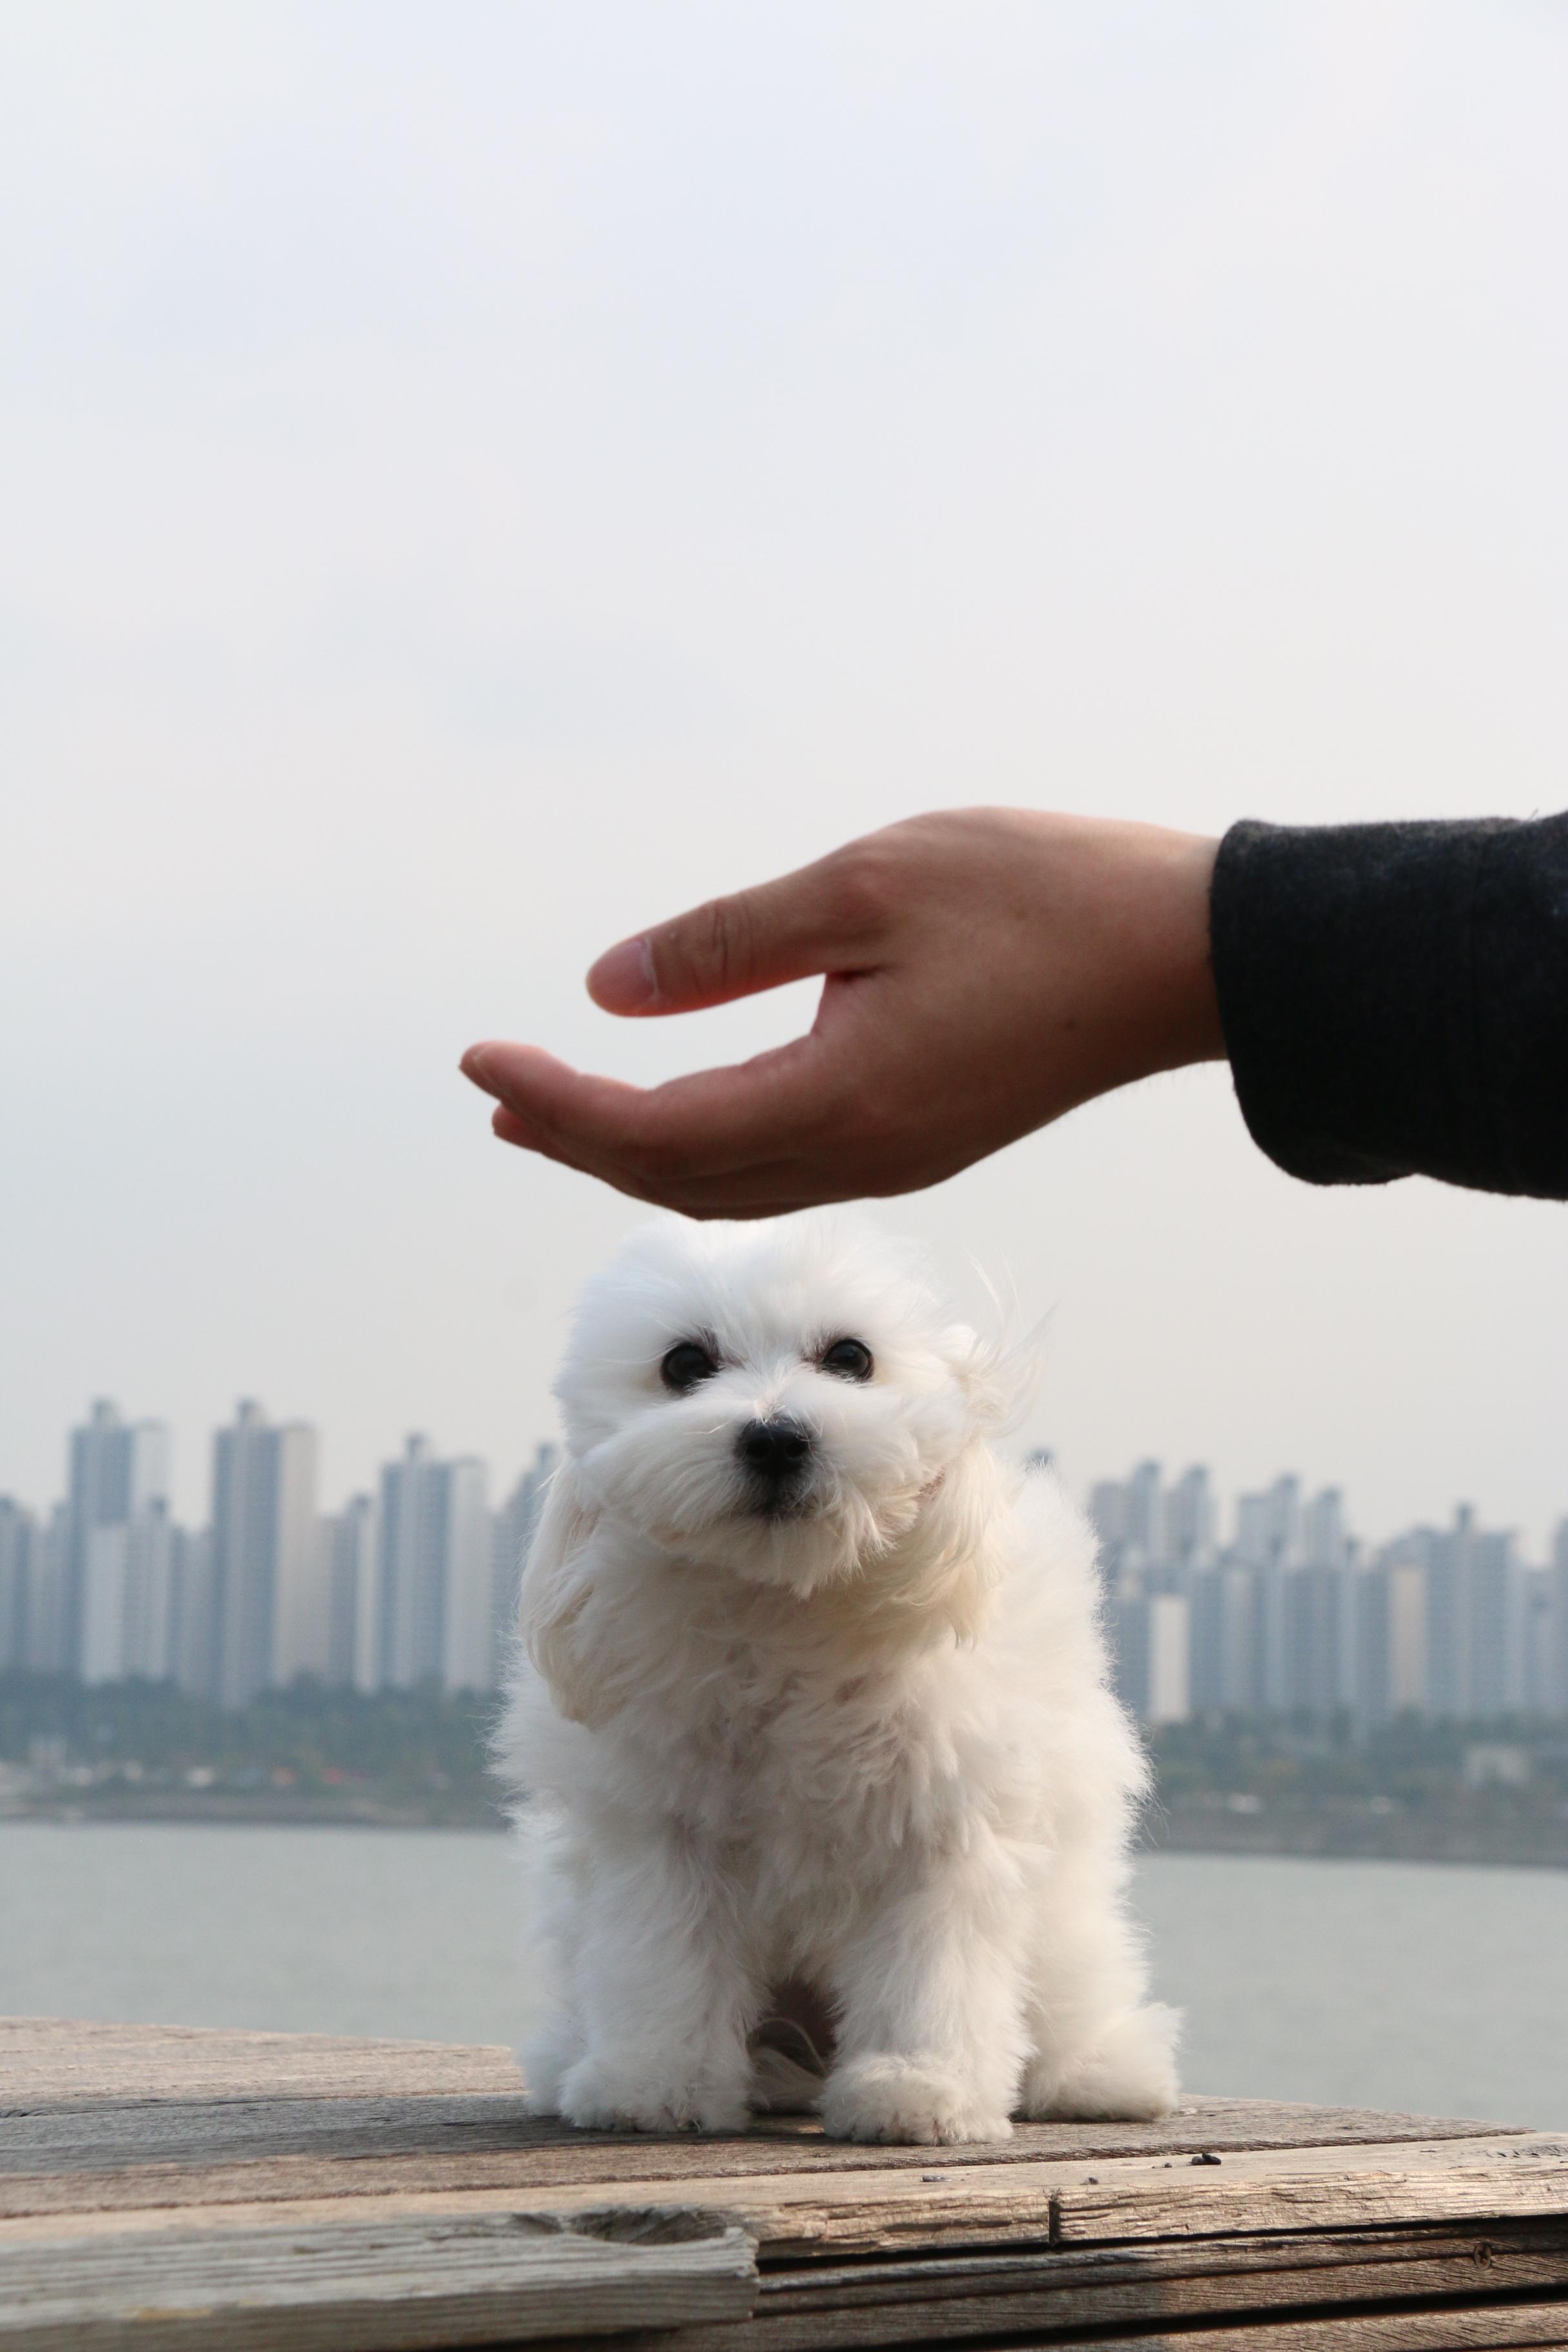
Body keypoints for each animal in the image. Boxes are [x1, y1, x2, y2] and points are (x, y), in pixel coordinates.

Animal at [493, 1213, 1175, 2154]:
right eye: (683, 1364)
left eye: (851, 1357)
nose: (775, 1437)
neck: (785, 1602)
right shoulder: (664, 1835)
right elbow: (662, 1959)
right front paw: (655, 2083)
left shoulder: (939, 1831)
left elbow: (931, 1977)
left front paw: (918, 2091)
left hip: (1066, 1938)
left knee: (1074, 2001)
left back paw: (1096, 2077)